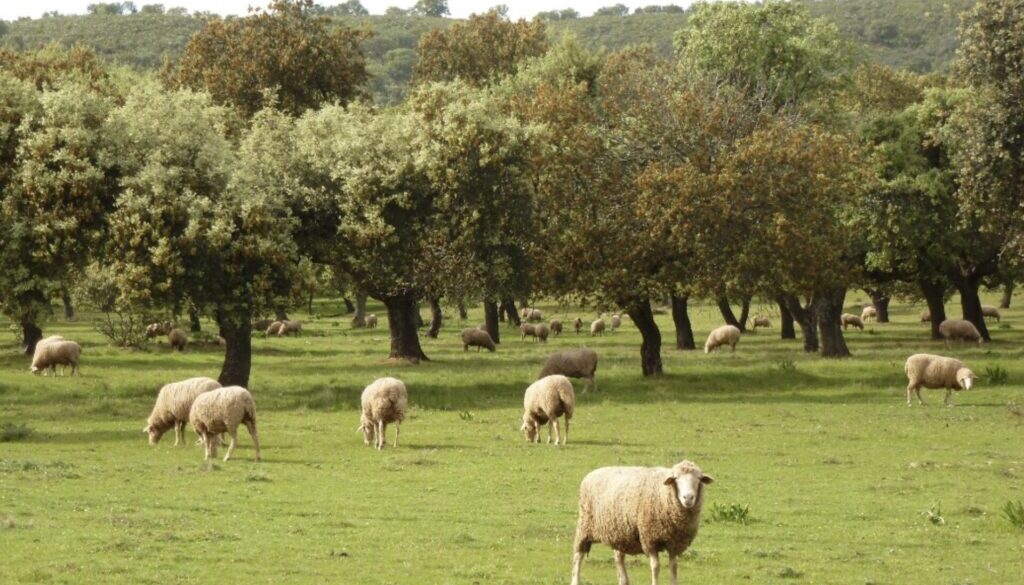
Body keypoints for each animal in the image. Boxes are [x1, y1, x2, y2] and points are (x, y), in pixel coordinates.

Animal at [573, 461, 716, 585]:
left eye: (699, 479)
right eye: (676, 478)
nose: (688, 498)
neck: (664, 494)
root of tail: (592, 473)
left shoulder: (674, 543)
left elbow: (674, 567)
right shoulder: (650, 538)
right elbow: (655, 567)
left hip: (619, 532)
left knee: (619, 558)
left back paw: (623, 581)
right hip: (585, 525)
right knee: (578, 556)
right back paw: (575, 579)